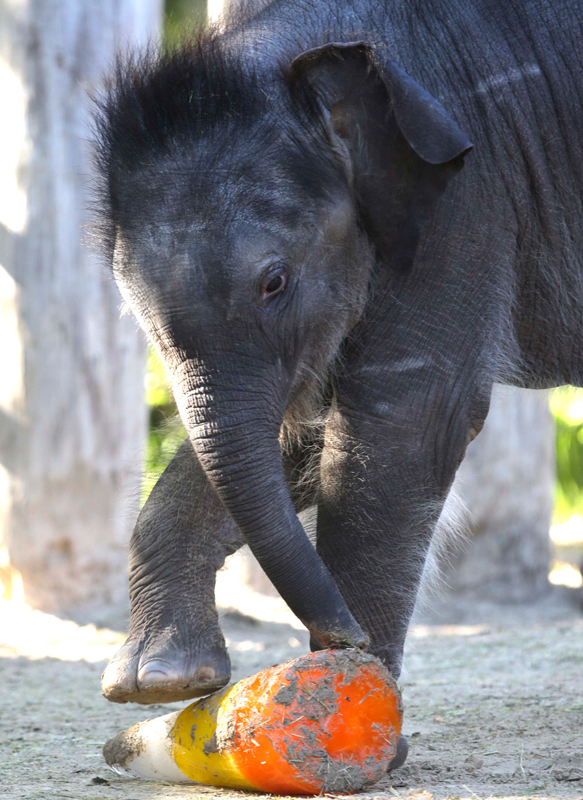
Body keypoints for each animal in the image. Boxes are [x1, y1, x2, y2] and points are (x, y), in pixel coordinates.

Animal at [94, 0, 583, 768]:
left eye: (273, 282)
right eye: (131, 307)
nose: (344, 632)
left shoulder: (465, 202)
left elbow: (395, 424)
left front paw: (357, 712)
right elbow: (299, 430)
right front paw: (160, 682)